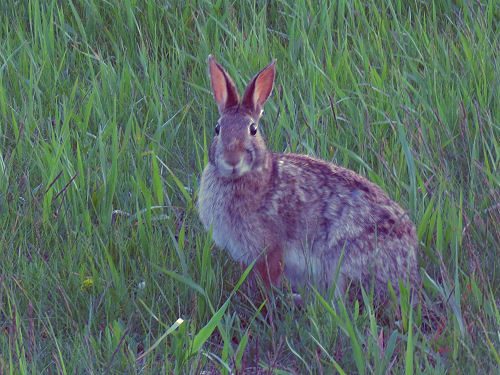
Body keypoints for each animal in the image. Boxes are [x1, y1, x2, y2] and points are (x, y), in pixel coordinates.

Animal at [197, 55, 420, 302]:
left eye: (253, 129)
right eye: (217, 128)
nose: (232, 160)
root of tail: (409, 264)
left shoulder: (271, 247)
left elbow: (270, 279)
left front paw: (268, 301)